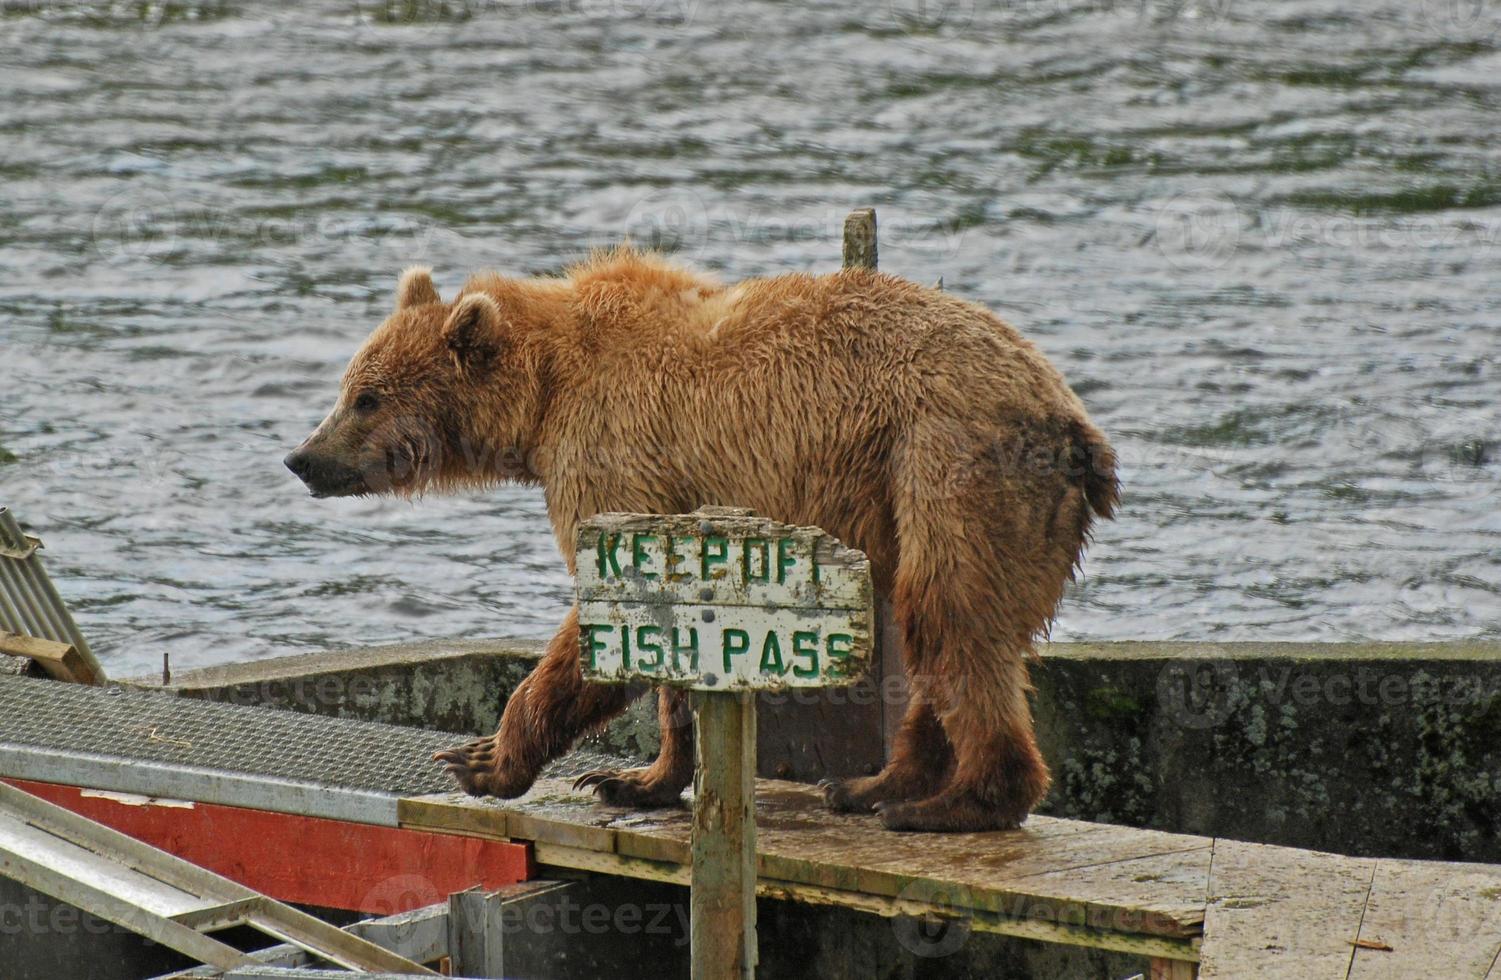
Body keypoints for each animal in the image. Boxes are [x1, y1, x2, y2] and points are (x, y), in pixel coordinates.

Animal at [283, 249, 1116, 828]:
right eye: (348, 386)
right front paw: (637, 777)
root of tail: (1072, 422)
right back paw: (871, 782)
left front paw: (482, 758)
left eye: (366, 397)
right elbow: (668, 637)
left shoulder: (610, 450)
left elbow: (605, 607)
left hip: (948, 460)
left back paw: (946, 804)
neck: (542, 395)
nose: (302, 458)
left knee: (952, 617)